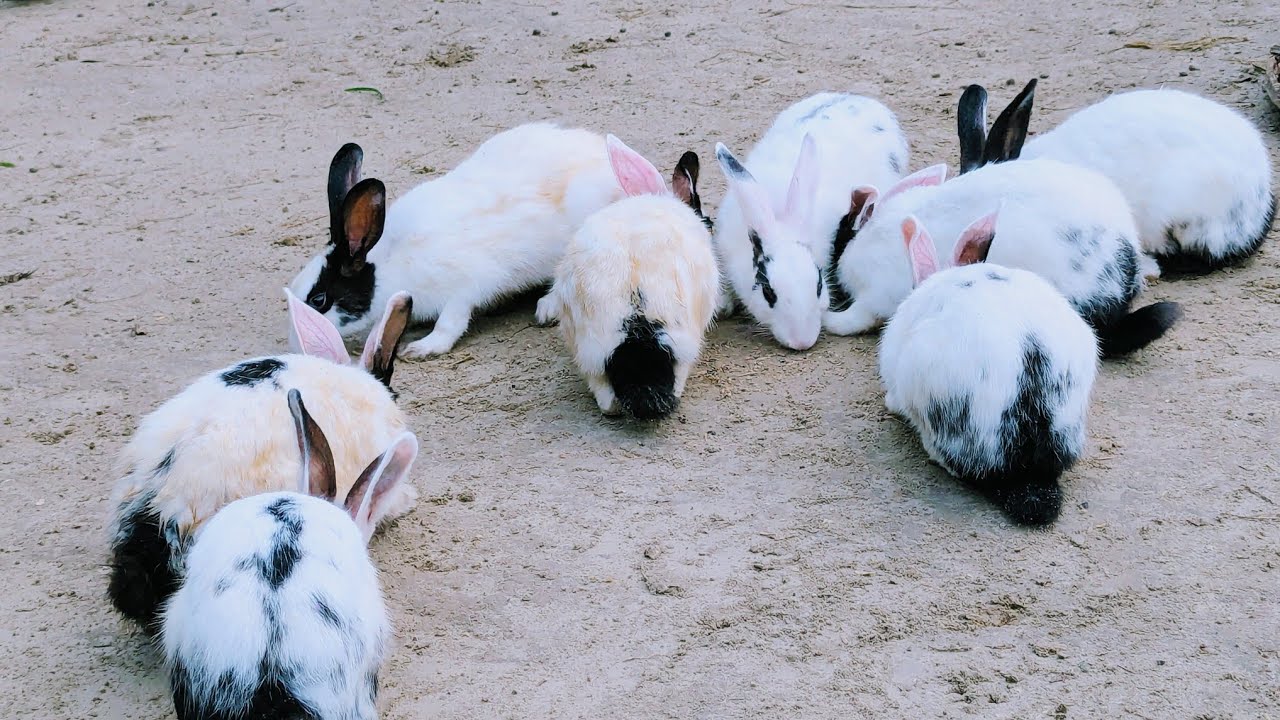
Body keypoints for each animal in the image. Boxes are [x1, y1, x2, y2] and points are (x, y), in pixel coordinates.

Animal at [289, 125, 626, 359]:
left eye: (318, 300)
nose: (296, 342)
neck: (389, 263)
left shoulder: (464, 287)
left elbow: (450, 323)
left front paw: (422, 348)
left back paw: (547, 308)